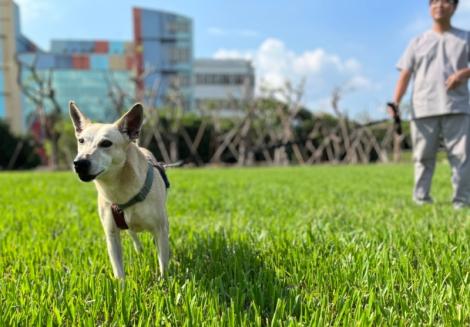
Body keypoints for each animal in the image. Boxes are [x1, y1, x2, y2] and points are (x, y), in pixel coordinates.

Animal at [70, 102, 171, 280]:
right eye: (81, 141)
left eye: (106, 143)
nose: (79, 163)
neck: (120, 189)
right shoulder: (111, 234)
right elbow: (118, 268)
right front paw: (121, 286)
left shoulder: (160, 228)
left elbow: (163, 262)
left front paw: (163, 282)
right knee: (133, 234)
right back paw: (139, 250)